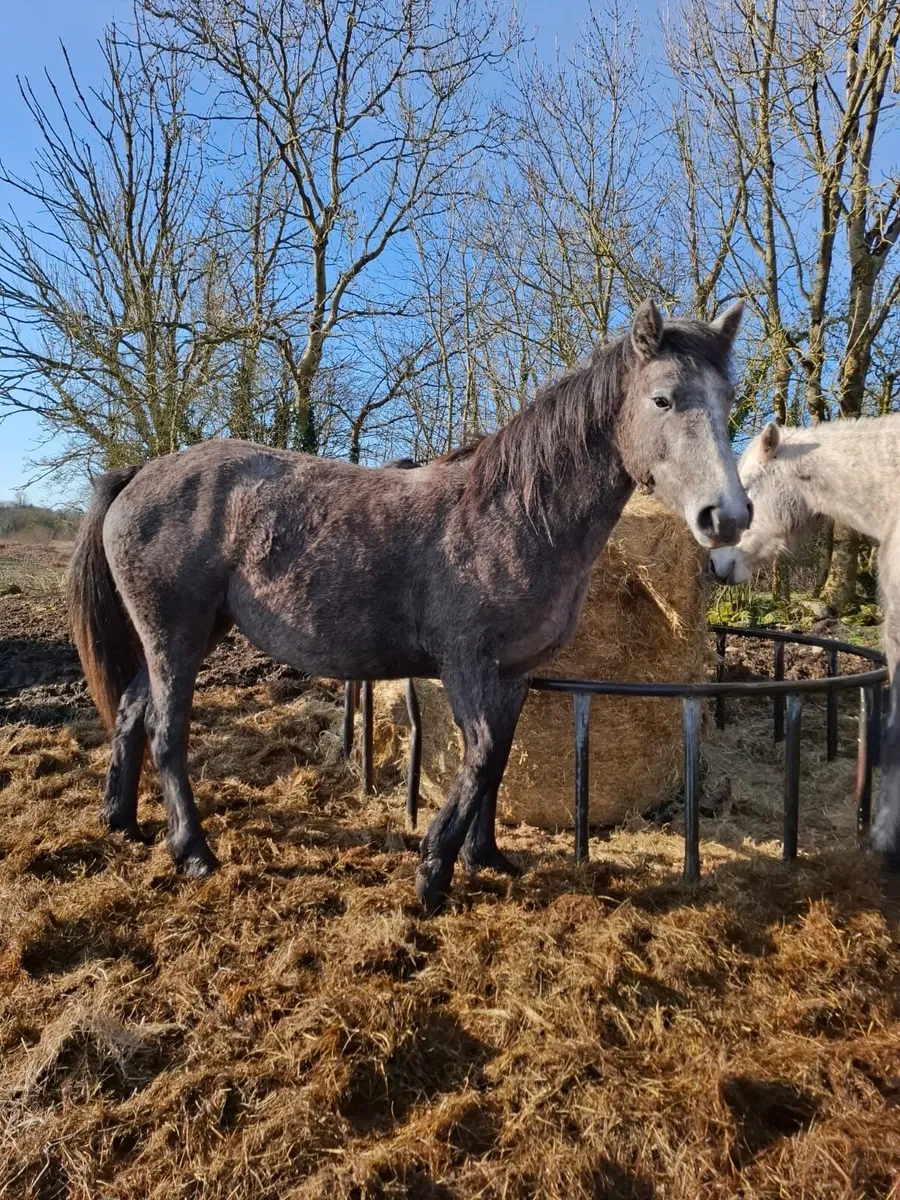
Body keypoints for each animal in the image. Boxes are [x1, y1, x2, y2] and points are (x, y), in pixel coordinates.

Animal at [68, 298, 750, 913]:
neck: (514, 514)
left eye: (728, 401)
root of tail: (139, 474)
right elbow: (479, 758)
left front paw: (486, 855)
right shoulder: (464, 663)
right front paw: (433, 874)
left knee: (131, 710)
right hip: (175, 633)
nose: (728, 518)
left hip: (190, 634)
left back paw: (121, 821)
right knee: (166, 731)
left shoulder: (514, 673)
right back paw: (193, 853)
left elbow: (498, 762)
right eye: (662, 399)